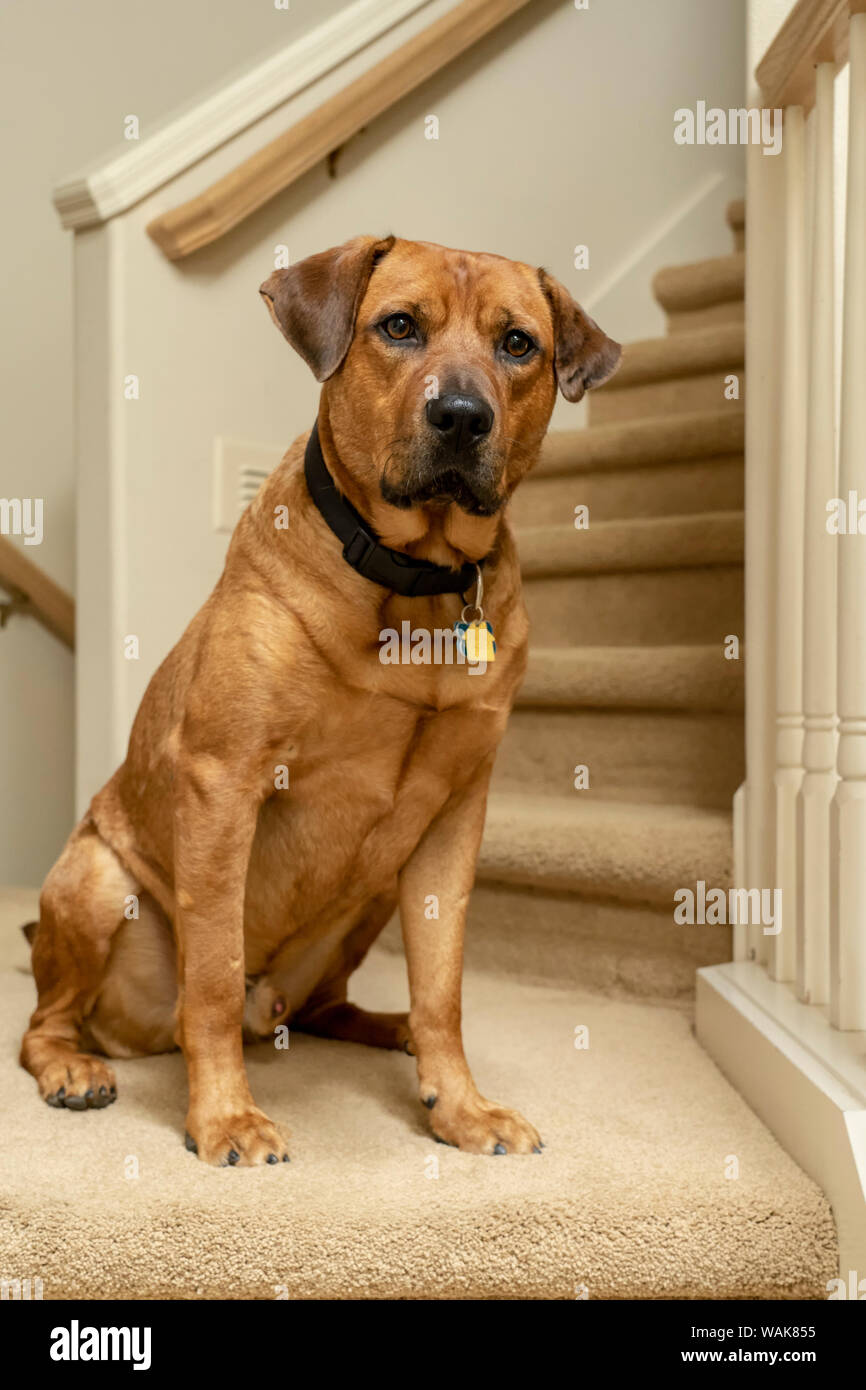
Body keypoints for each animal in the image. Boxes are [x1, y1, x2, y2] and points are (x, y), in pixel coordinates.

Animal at [20, 239, 622, 1162]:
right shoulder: (224, 783)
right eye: (399, 326)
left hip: (373, 891)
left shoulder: (455, 818)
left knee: (325, 1008)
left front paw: (459, 1104)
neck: (416, 582)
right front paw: (225, 1117)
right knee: (47, 1022)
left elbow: (444, 984)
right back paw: (72, 1068)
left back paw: (390, 1027)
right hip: (92, 881)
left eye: (518, 344)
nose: (460, 417)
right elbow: (212, 977)